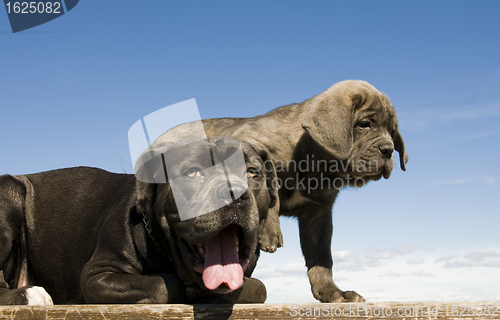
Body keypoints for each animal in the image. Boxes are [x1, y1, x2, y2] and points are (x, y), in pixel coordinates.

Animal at [0, 138, 278, 304]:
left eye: (251, 172)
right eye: (192, 173)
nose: (234, 193)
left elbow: (259, 288)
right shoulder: (97, 274)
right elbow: (163, 285)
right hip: (10, 190)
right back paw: (29, 294)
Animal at [154, 80, 408, 302]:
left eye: (392, 131)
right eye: (364, 124)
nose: (388, 150)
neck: (315, 163)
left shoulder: (318, 216)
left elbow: (321, 259)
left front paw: (332, 292)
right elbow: (269, 185)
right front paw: (270, 231)